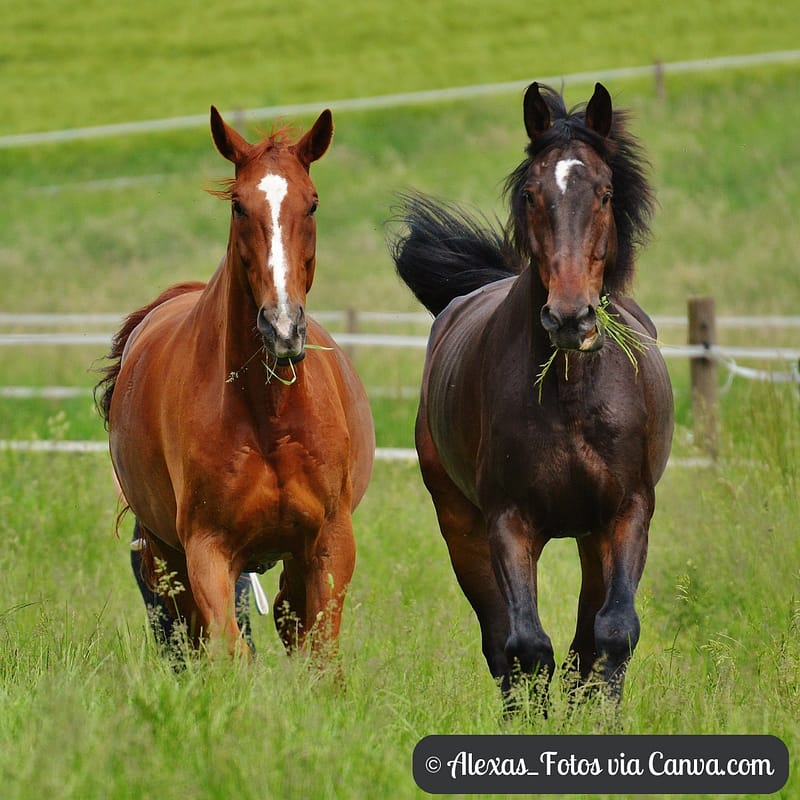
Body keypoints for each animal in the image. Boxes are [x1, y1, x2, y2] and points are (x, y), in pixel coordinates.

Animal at [96, 107, 375, 659]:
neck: (269, 415)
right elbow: (229, 649)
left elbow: (319, 653)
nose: (282, 327)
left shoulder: (330, 543)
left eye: (312, 203)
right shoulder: (207, 549)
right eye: (239, 206)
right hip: (168, 557)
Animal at [391, 82, 673, 702]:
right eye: (530, 193)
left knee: (587, 635)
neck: (571, 398)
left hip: (592, 537)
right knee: (501, 642)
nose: (569, 318)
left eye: (605, 192)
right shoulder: (508, 522)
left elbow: (612, 632)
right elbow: (525, 647)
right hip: (461, 527)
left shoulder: (627, 512)